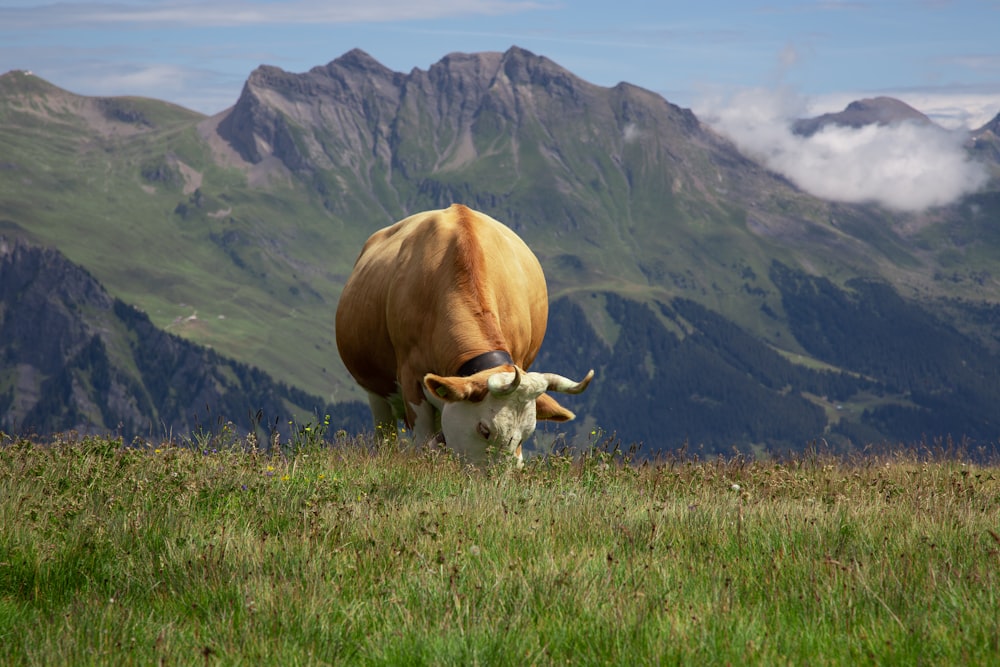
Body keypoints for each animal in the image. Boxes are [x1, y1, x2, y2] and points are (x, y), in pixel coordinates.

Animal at [336, 204, 592, 464]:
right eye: (484, 430)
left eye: (526, 435)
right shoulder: (410, 379)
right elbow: (422, 444)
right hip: (375, 392)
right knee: (385, 436)